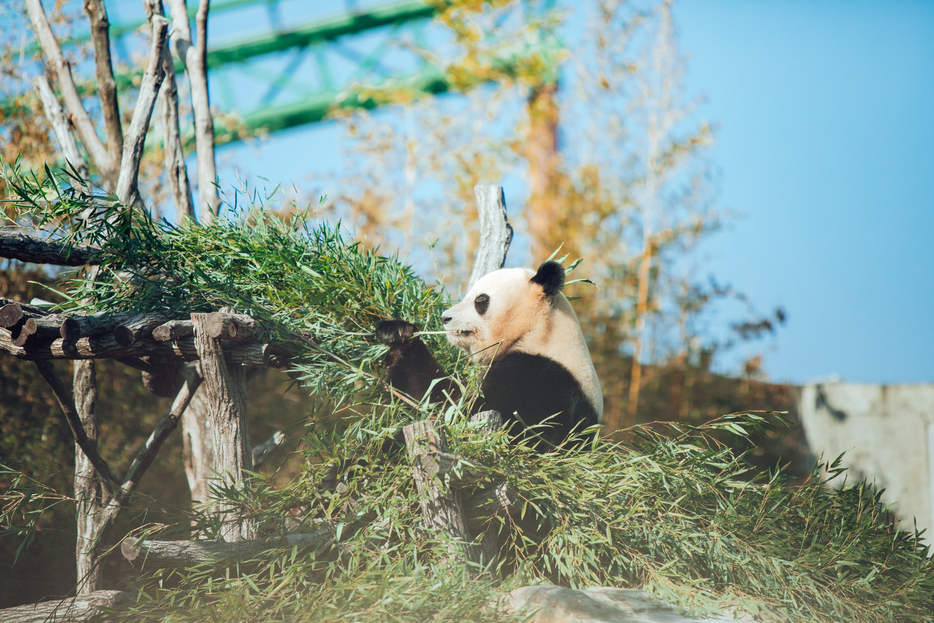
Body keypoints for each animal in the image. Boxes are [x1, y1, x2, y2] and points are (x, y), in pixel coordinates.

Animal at [380, 262, 608, 448]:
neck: (539, 329)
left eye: (480, 299)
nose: (445, 318)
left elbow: (460, 408)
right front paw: (398, 333)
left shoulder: (538, 379)